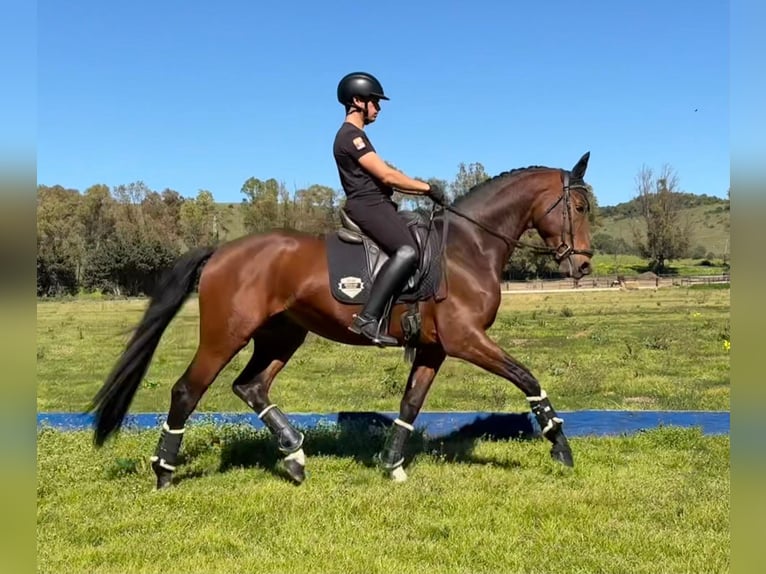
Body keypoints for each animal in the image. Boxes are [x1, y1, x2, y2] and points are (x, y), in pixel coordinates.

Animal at [89, 152, 595, 488]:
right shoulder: (465, 339)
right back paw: (165, 471)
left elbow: (410, 404)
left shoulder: (435, 347)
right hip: (225, 335)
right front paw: (560, 444)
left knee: (251, 386)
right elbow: (527, 378)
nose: (585, 265)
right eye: (579, 207)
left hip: (283, 334)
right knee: (187, 391)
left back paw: (294, 456)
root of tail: (221, 252)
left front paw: (392, 465)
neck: (468, 247)